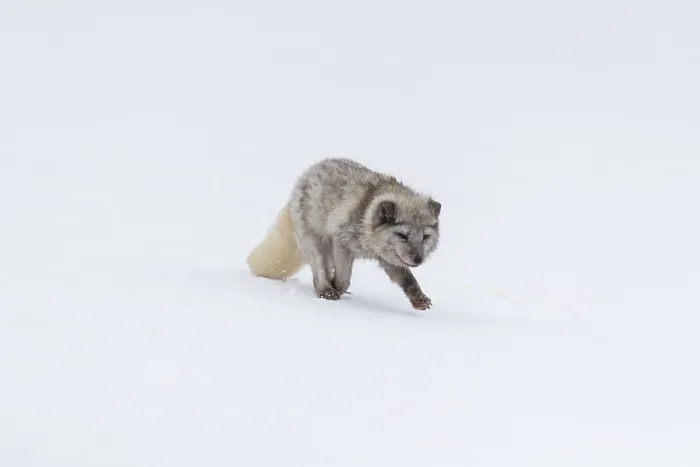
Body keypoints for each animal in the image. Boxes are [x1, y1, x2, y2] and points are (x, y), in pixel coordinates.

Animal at [246, 158, 441, 310]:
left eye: (425, 237)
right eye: (403, 235)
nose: (418, 259)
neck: (365, 217)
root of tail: (309, 172)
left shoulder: (388, 259)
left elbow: (407, 279)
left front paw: (419, 299)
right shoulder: (341, 244)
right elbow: (343, 279)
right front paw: (334, 287)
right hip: (315, 242)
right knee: (319, 269)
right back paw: (325, 289)